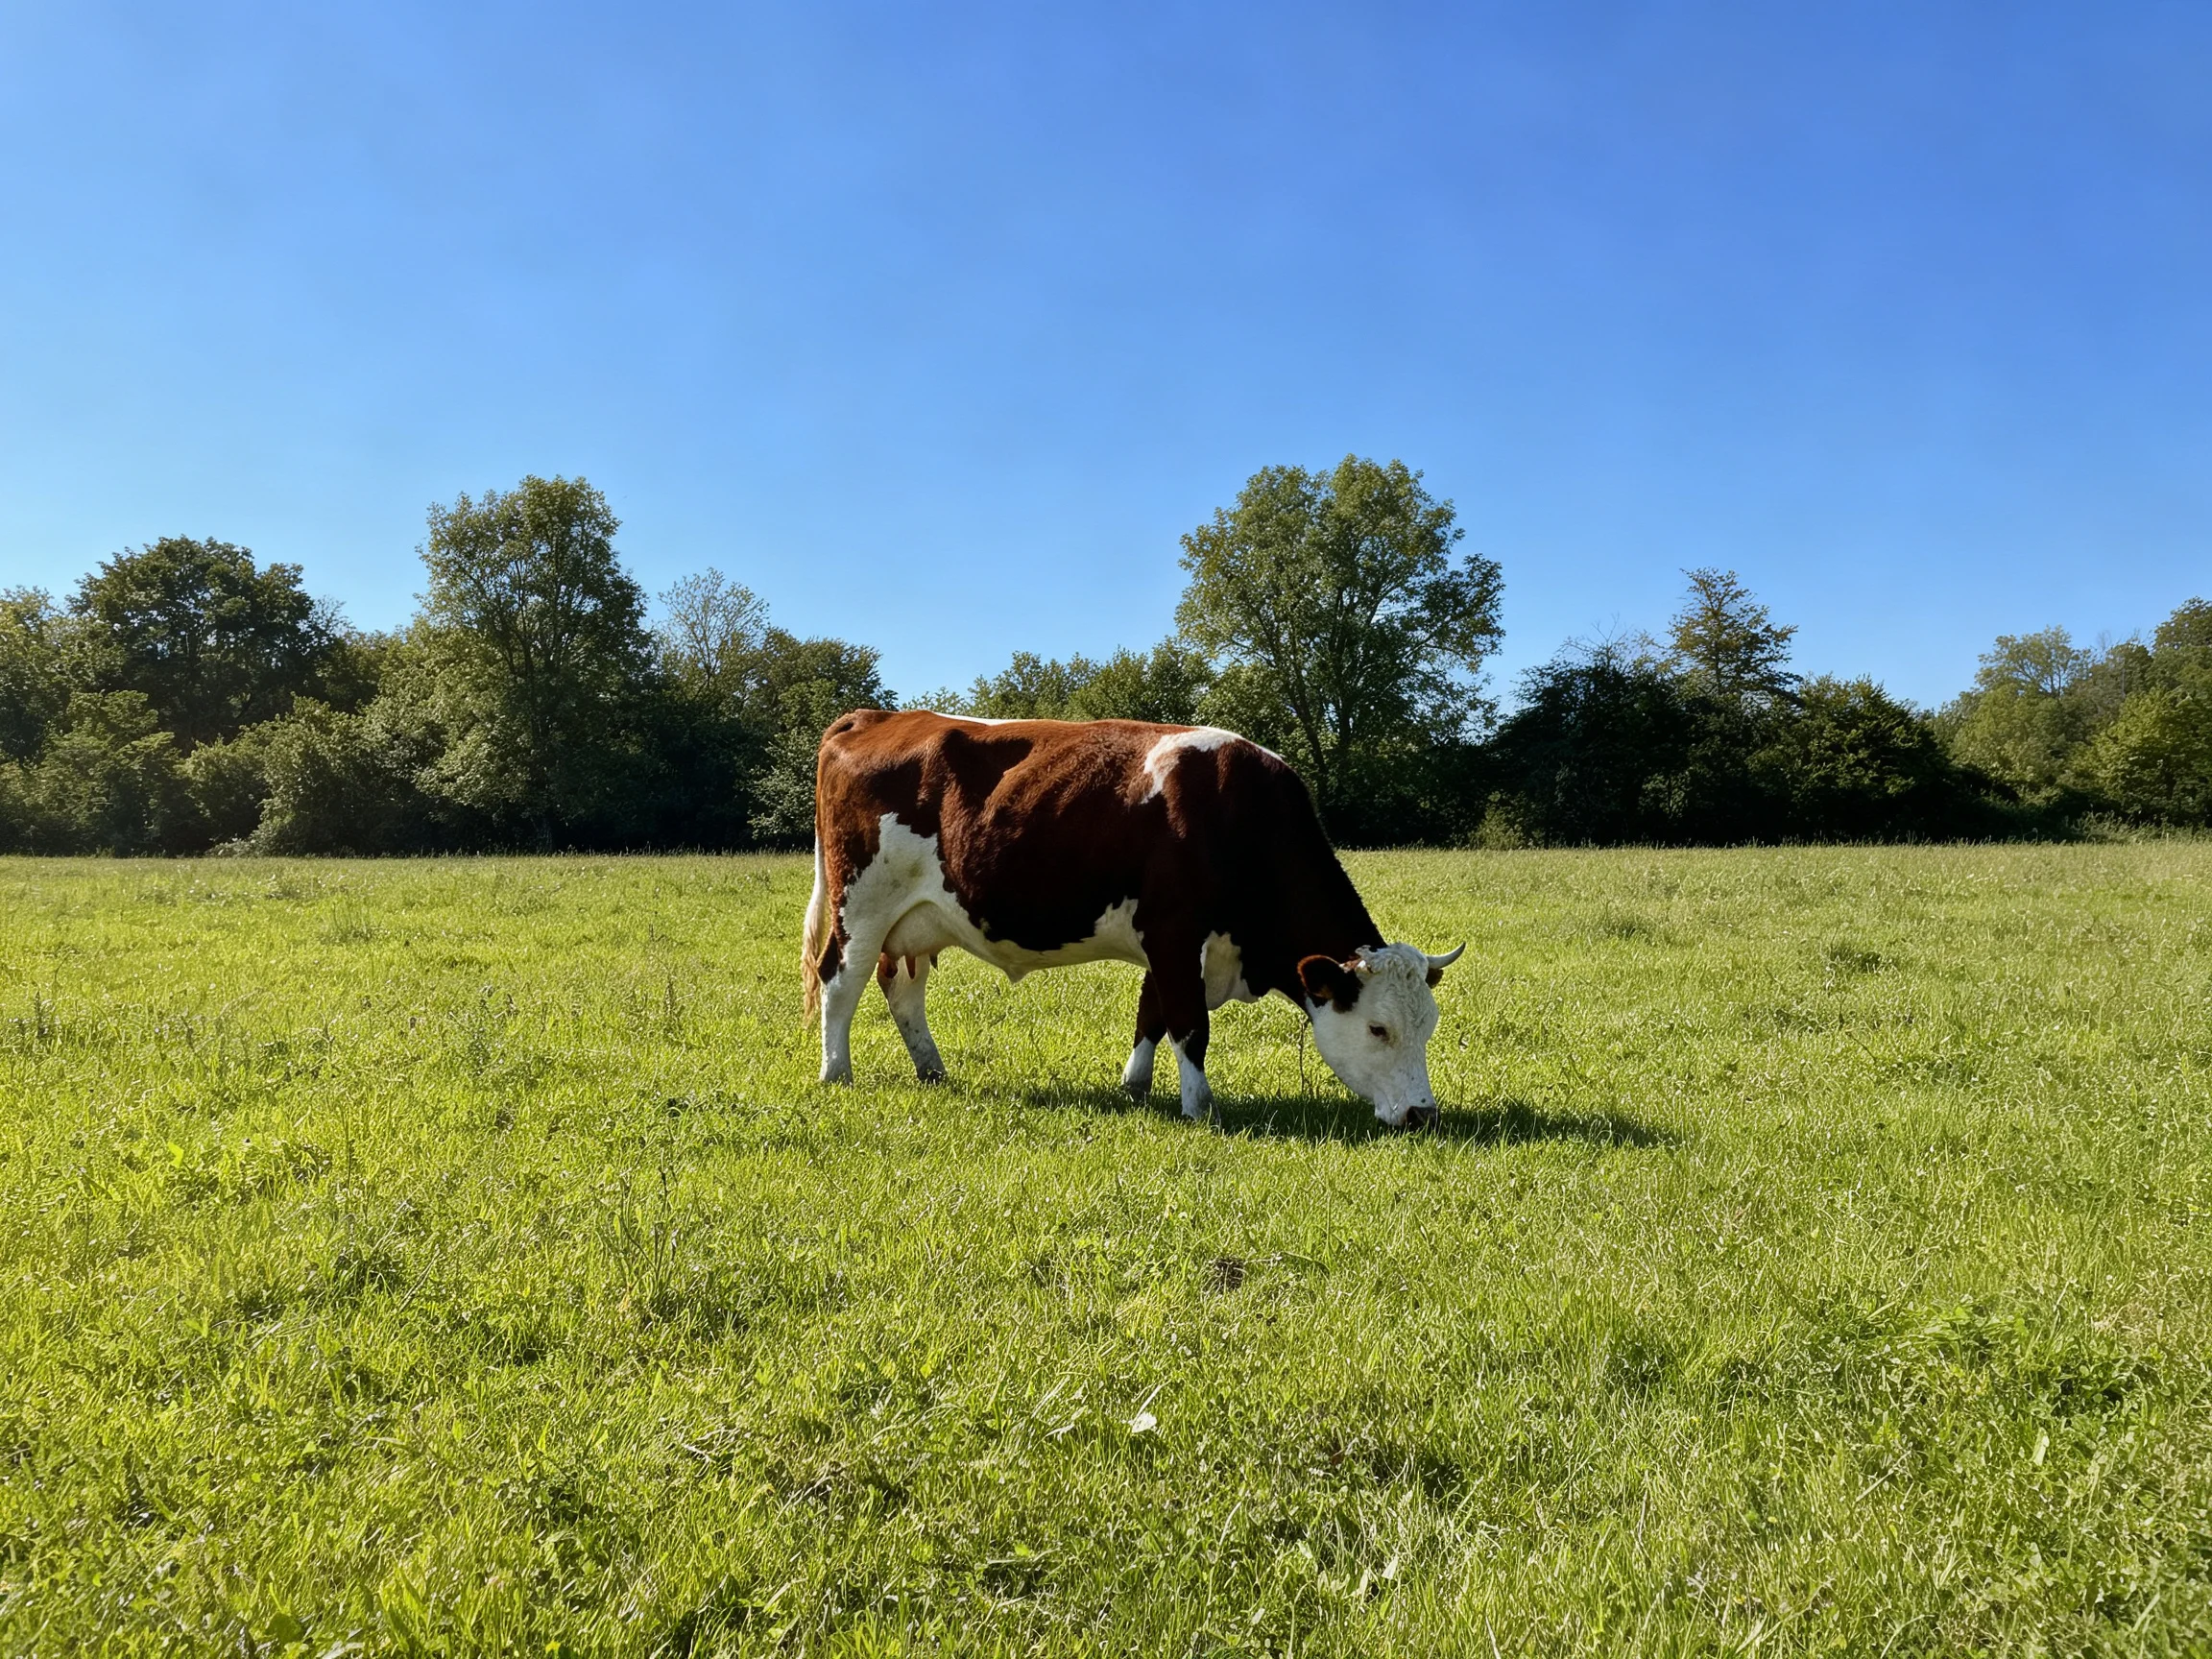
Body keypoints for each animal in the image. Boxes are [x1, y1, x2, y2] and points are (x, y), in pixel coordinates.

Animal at [800, 709, 1464, 1127]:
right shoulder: (1175, 934)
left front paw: (1136, 1087)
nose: (1422, 1114)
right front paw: (1200, 1108)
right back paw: (836, 1072)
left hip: (916, 920)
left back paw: (933, 1071)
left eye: (1428, 1026)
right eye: (1378, 1029)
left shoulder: (1170, 946)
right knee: (841, 980)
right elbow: (1190, 1025)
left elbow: (1152, 1013)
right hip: (862, 903)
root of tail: (871, 716)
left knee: (901, 988)